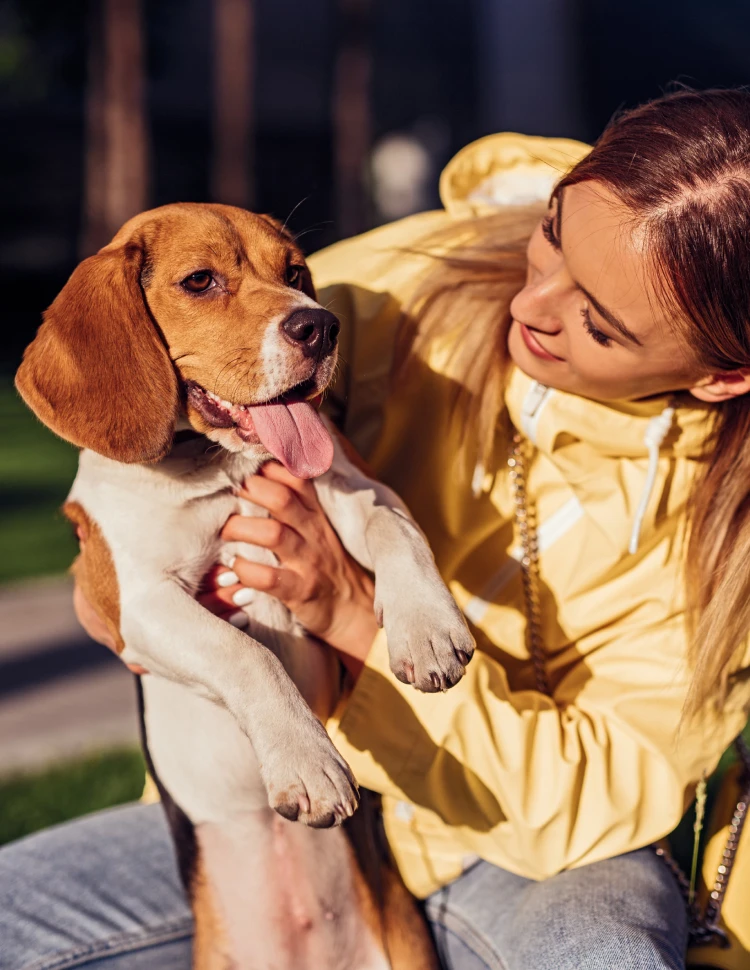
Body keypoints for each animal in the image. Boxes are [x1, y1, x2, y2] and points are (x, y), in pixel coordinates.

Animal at [16, 204, 476, 968]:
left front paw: (428, 629)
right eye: (200, 281)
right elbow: (247, 654)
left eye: (295, 272)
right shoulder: (138, 604)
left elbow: (395, 528)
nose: (320, 326)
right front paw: (309, 763)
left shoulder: (352, 484)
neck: (220, 468)